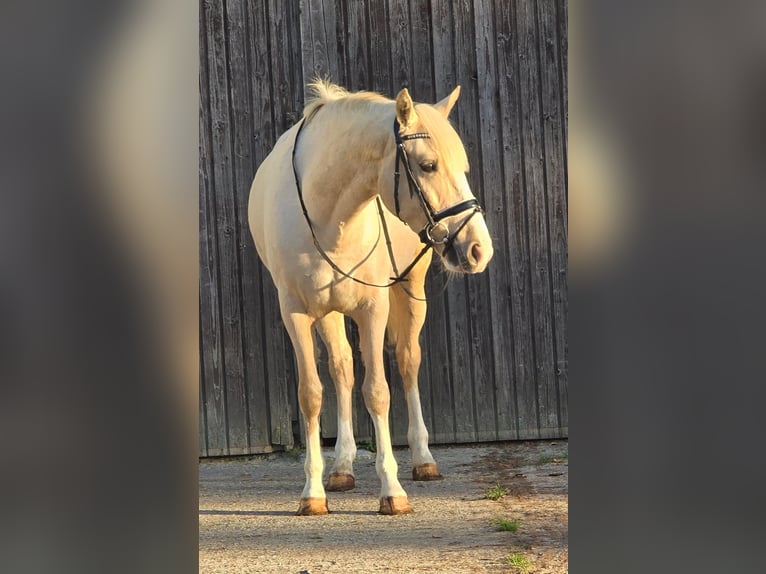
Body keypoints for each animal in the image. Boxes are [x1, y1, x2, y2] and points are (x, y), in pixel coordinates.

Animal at [248, 80, 493, 515]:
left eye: (462, 169)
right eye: (428, 166)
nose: (479, 249)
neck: (330, 217)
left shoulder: (373, 309)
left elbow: (378, 391)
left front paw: (392, 491)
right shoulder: (295, 312)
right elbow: (312, 394)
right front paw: (313, 493)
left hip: (411, 292)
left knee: (408, 362)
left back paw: (423, 460)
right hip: (329, 312)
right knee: (342, 370)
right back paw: (342, 467)